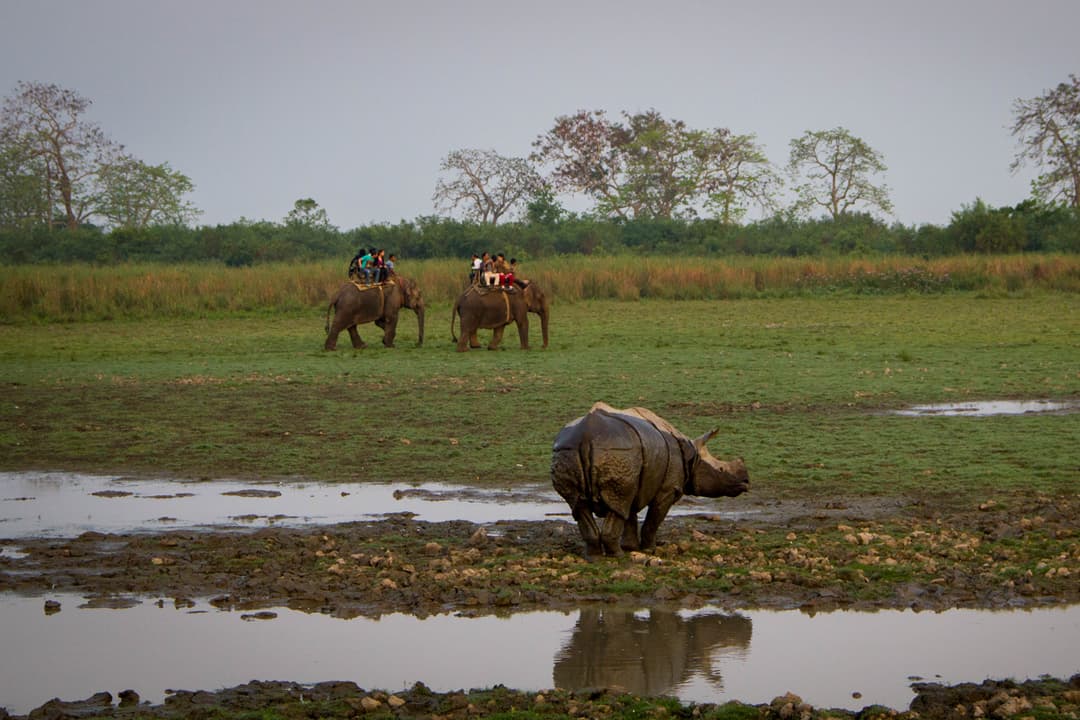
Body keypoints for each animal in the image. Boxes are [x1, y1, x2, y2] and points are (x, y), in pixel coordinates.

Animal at [552, 403, 747, 561]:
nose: (746, 482)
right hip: (618, 452)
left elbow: (629, 515)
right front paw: (649, 549)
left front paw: (630, 547)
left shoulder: (635, 478)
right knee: (610, 506)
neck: (693, 456)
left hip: (573, 451)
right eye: (720, 470)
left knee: (581, 506)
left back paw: (595, 557)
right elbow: (653, 519)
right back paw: (617, 556)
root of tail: (586, 437)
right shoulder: (668, 489)